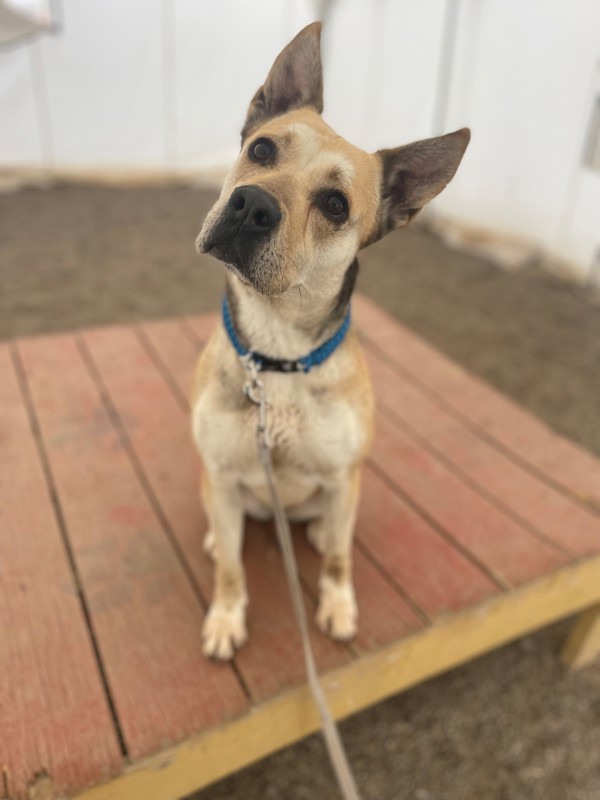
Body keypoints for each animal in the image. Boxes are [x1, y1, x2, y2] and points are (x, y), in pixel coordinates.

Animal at [192, 23, 468, 664]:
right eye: (262, 150)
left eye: (336, 206)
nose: (252, 204)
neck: (277, 355)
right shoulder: (219, 470)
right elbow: (233, 572)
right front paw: (226, 617)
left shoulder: (344, 478)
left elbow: (341, 558)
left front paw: (339, 607)